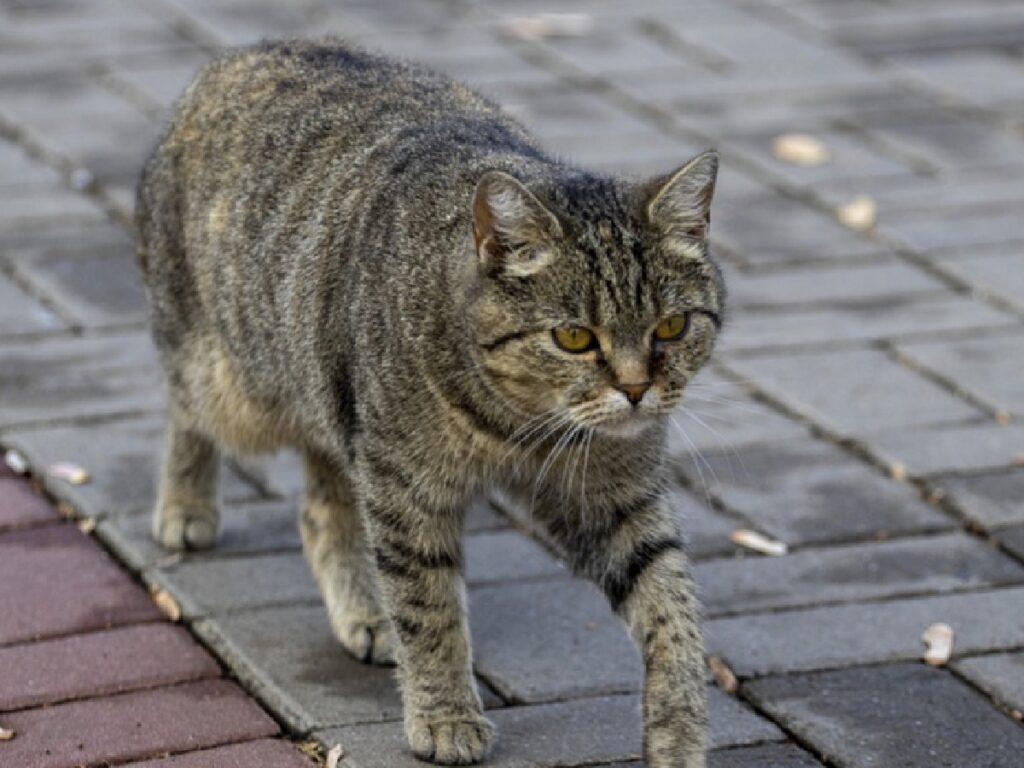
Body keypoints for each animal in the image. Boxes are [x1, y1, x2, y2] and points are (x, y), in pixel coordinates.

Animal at [136, 39, 724, 765]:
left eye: (671, 326)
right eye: (574, 337)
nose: (638, 389)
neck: (517, 423)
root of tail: (243, 53)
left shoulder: (614, 495)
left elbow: (672, 608)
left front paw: (679, 731)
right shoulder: (405, 488)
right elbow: (429, 606)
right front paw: (445, 714)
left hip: (335, 407)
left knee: (321, 507)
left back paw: (362, 612)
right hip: (233, 384)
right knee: (184, 408)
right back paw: (186, 504)